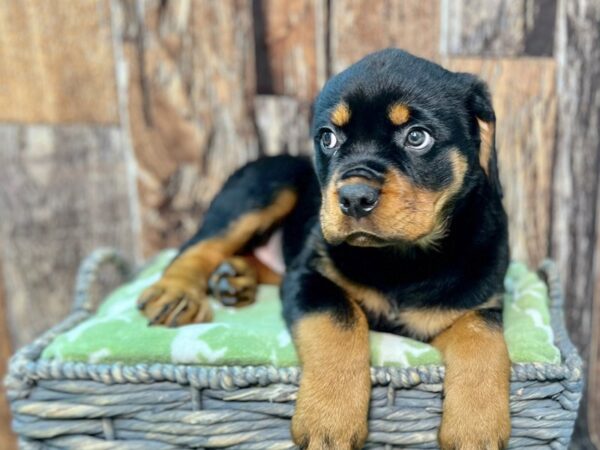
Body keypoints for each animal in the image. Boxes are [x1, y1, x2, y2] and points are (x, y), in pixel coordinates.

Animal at [138, 49, 508, 450]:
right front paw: (330, 420)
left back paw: (234, 279)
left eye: (417, 137)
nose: (354, 197)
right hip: (264, 187)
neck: (400, 259)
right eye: (328, 138)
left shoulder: (481, 301)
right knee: (200, 246)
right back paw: (177, 294)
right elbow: (340, 323)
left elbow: (484, 340)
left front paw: (476, 428)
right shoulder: (310, 277)